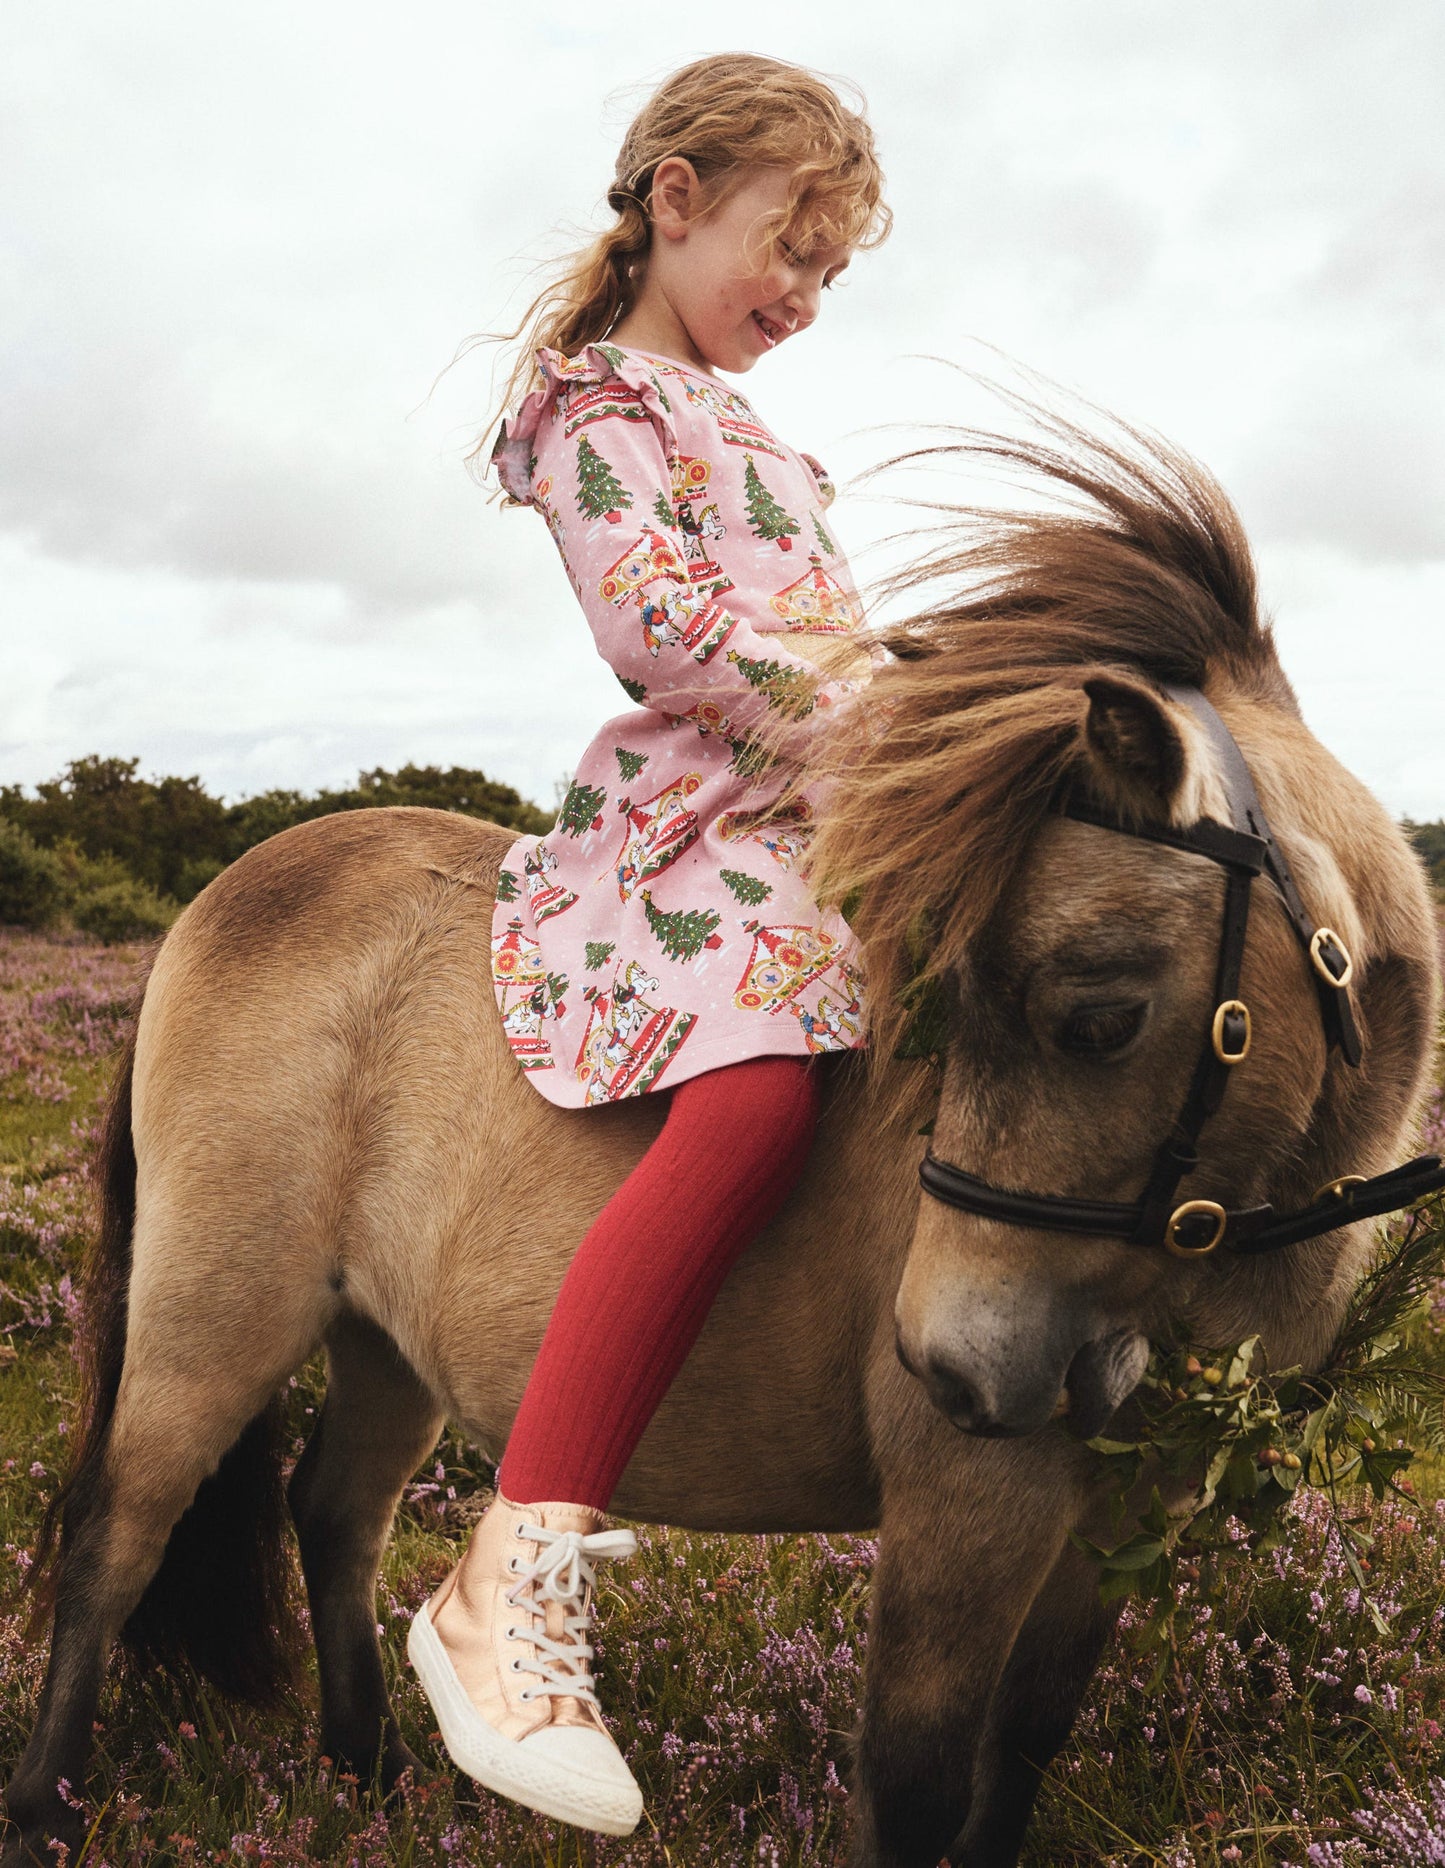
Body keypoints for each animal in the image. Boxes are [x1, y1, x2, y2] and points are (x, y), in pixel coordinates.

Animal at [8, 397, 1433, 1868]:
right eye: (947, 996)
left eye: (1095, 1015)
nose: (952, 1371)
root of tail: (223, 898)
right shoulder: (964, 1516)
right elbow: (916, 1780)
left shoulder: (1127, 1512)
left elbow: (1022, 1747)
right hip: (217, 1316)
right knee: (115, 1534)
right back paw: (49, 1808)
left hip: (380, 1337)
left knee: (333, 1513)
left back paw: (375, 1777)